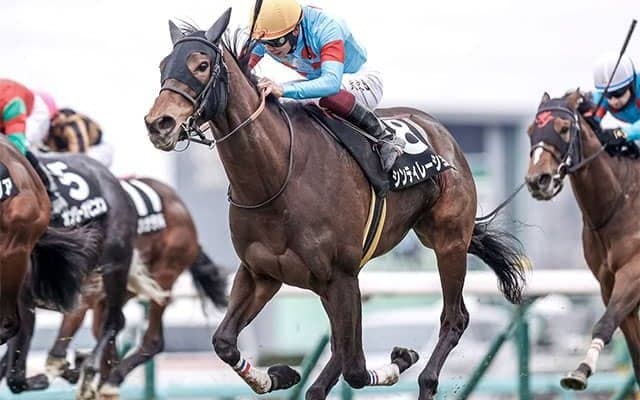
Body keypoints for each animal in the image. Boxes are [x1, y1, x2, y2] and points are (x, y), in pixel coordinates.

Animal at [143, 9, 527, 400]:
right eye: (162, 66)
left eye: (202, 65)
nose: (159, 123)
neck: (277, 178)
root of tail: (441, 131)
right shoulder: (261, 273)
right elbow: (224, 342)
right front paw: (279, 375)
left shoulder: (343, 276)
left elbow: (356, 369)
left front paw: (400, 359)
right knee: (339, 349)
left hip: (447, 241)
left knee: (454, 318)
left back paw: (425, 380)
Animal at [525, 90, 640, 391]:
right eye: (530, 130)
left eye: (564, 128)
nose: (537, 180)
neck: (619, 202)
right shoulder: (607, 283)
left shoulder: (634, 272)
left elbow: (605, 322)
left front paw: (580, 371)